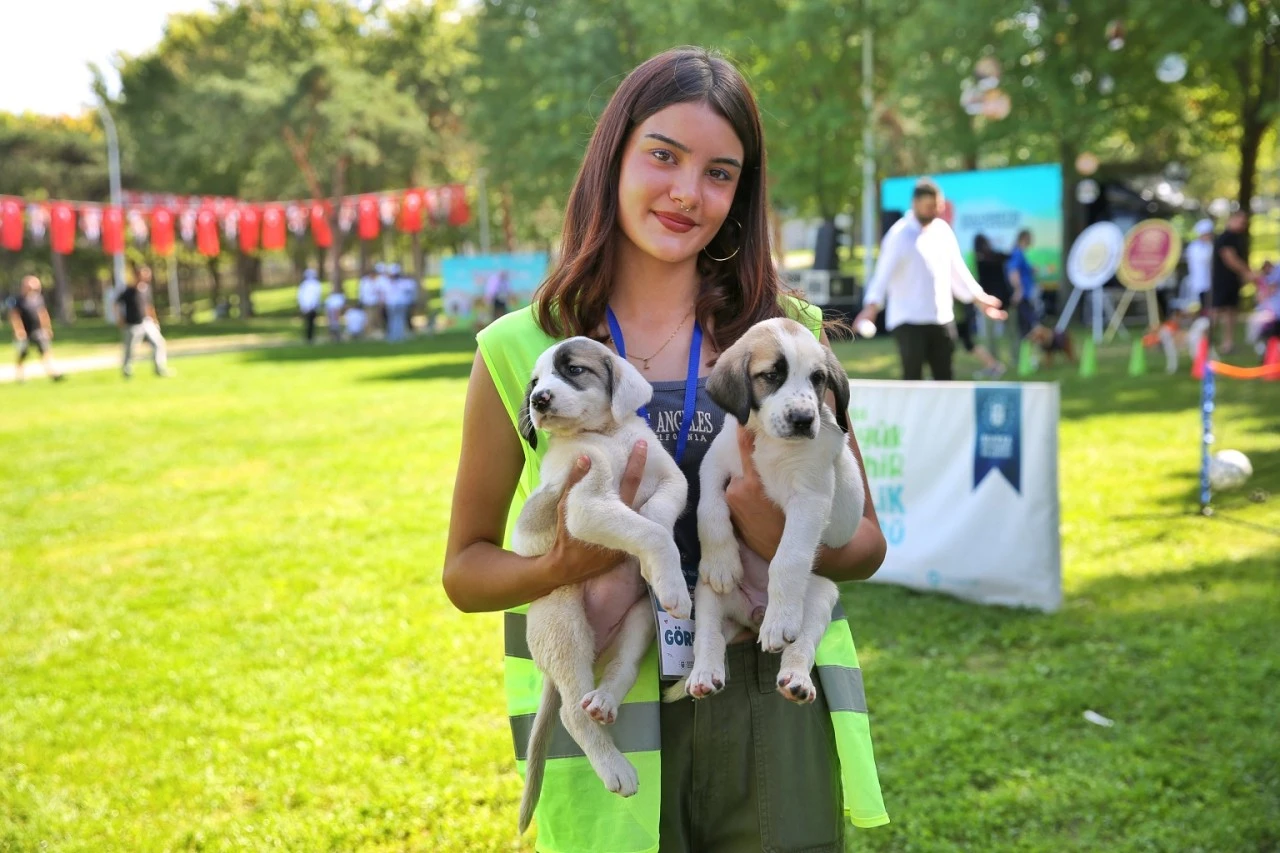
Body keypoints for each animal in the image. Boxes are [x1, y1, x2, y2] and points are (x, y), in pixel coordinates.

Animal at [509, 335, 691, 824]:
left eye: (573, 370)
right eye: (535, 381)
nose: (538, 400)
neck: (608, 436)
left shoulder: (672, 477)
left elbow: (656, 514)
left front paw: (662, 571)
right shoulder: (586, 504)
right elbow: (649, 531)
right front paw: (672, 584)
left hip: (638, 619)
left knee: (620, 669)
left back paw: (605, 700)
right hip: (563, 622)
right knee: (572, 713)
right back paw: (615, 768)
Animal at [670, 318, 870, 701]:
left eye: (818, 378)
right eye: (772, 375)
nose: (804, 419)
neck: (770, 442)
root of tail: (753, 613)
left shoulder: (809, 498)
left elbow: (788, 558)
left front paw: (779, 621)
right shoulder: (714, 465)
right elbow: (709, 512)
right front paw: (722, 562)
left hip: (820, 596)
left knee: (801, 643)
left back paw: (794, 675)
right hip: (707, 597)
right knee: (708, 636)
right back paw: (704, 674)